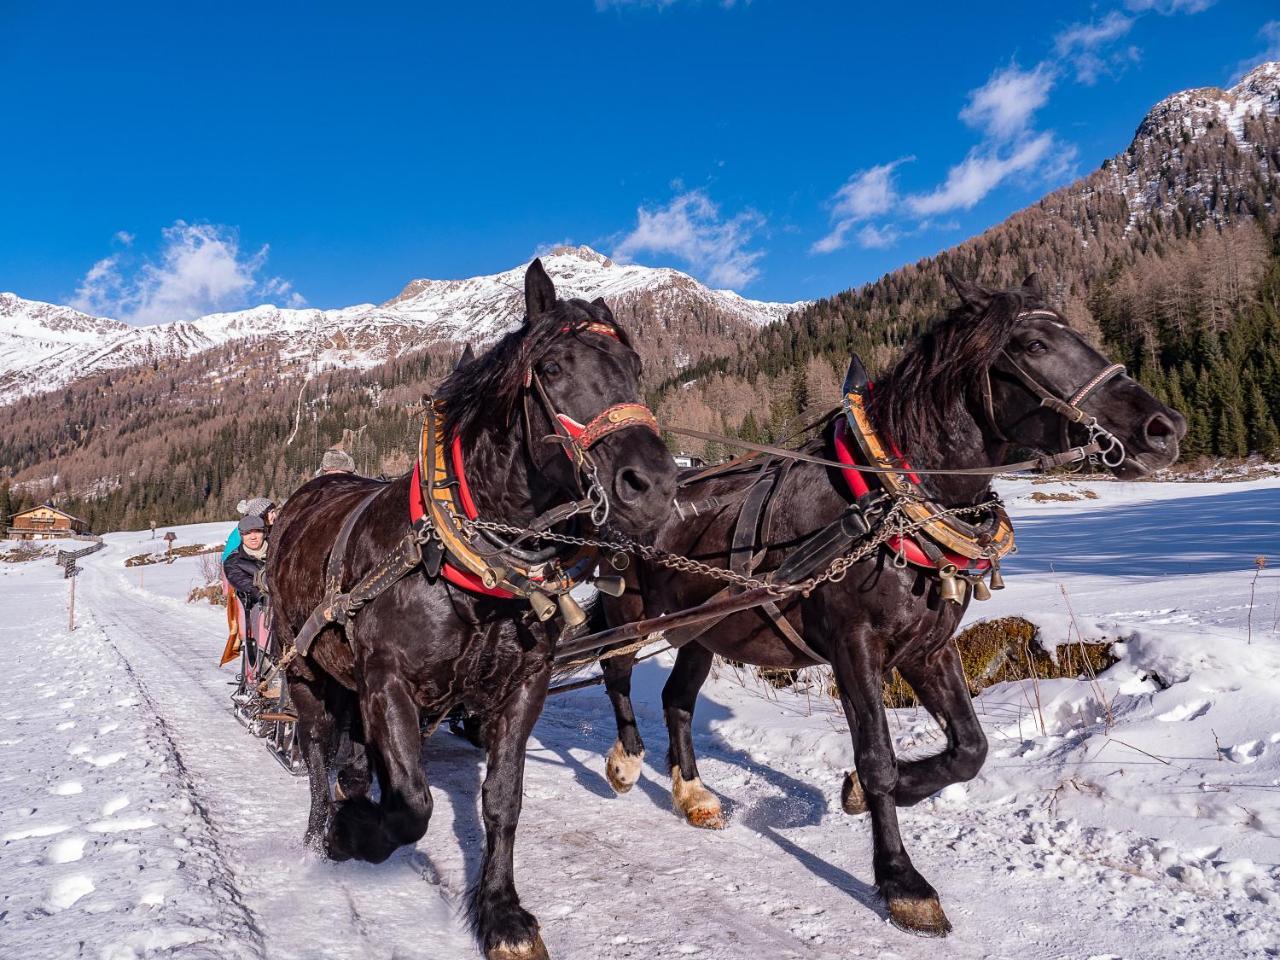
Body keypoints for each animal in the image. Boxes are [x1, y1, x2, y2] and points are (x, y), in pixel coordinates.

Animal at [264, 261, 675, 960]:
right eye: (553, 367)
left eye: (635, 364)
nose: (653, 486)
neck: (470, 565)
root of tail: (300, 501)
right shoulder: (389, 683)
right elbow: (413, 803)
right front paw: (353, 834)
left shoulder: (522, 686)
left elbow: (501, 800)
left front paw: (502, 913)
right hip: (303, 671)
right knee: (318, 754)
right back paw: (321, 835)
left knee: (350, 758)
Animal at [593, 277, 1182, 942]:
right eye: (1034, 345)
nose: (1164, 427)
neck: (888, 507)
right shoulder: (855, 648)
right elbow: (876, 758)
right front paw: (902, 880)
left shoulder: (928, 649)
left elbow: (969, 750)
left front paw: (867, 793)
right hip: (629, 610)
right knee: (615, 672)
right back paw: (626, 763)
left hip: (704, 629)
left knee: (677, 699)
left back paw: (693, 795)